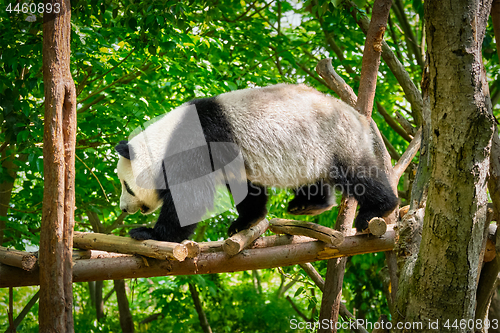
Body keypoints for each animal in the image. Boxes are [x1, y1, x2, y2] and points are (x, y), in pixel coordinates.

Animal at [114, 83, 398, 241]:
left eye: (127, 187)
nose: (124, 208)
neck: (165, 139)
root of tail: (358, 117)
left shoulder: (200, 144)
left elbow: (190, 197)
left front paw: (149, 233)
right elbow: (246, 188)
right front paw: (245, 222)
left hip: (336, 137)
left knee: (359, 174)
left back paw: (378, 209)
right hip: (310, 150)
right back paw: (308, 205)